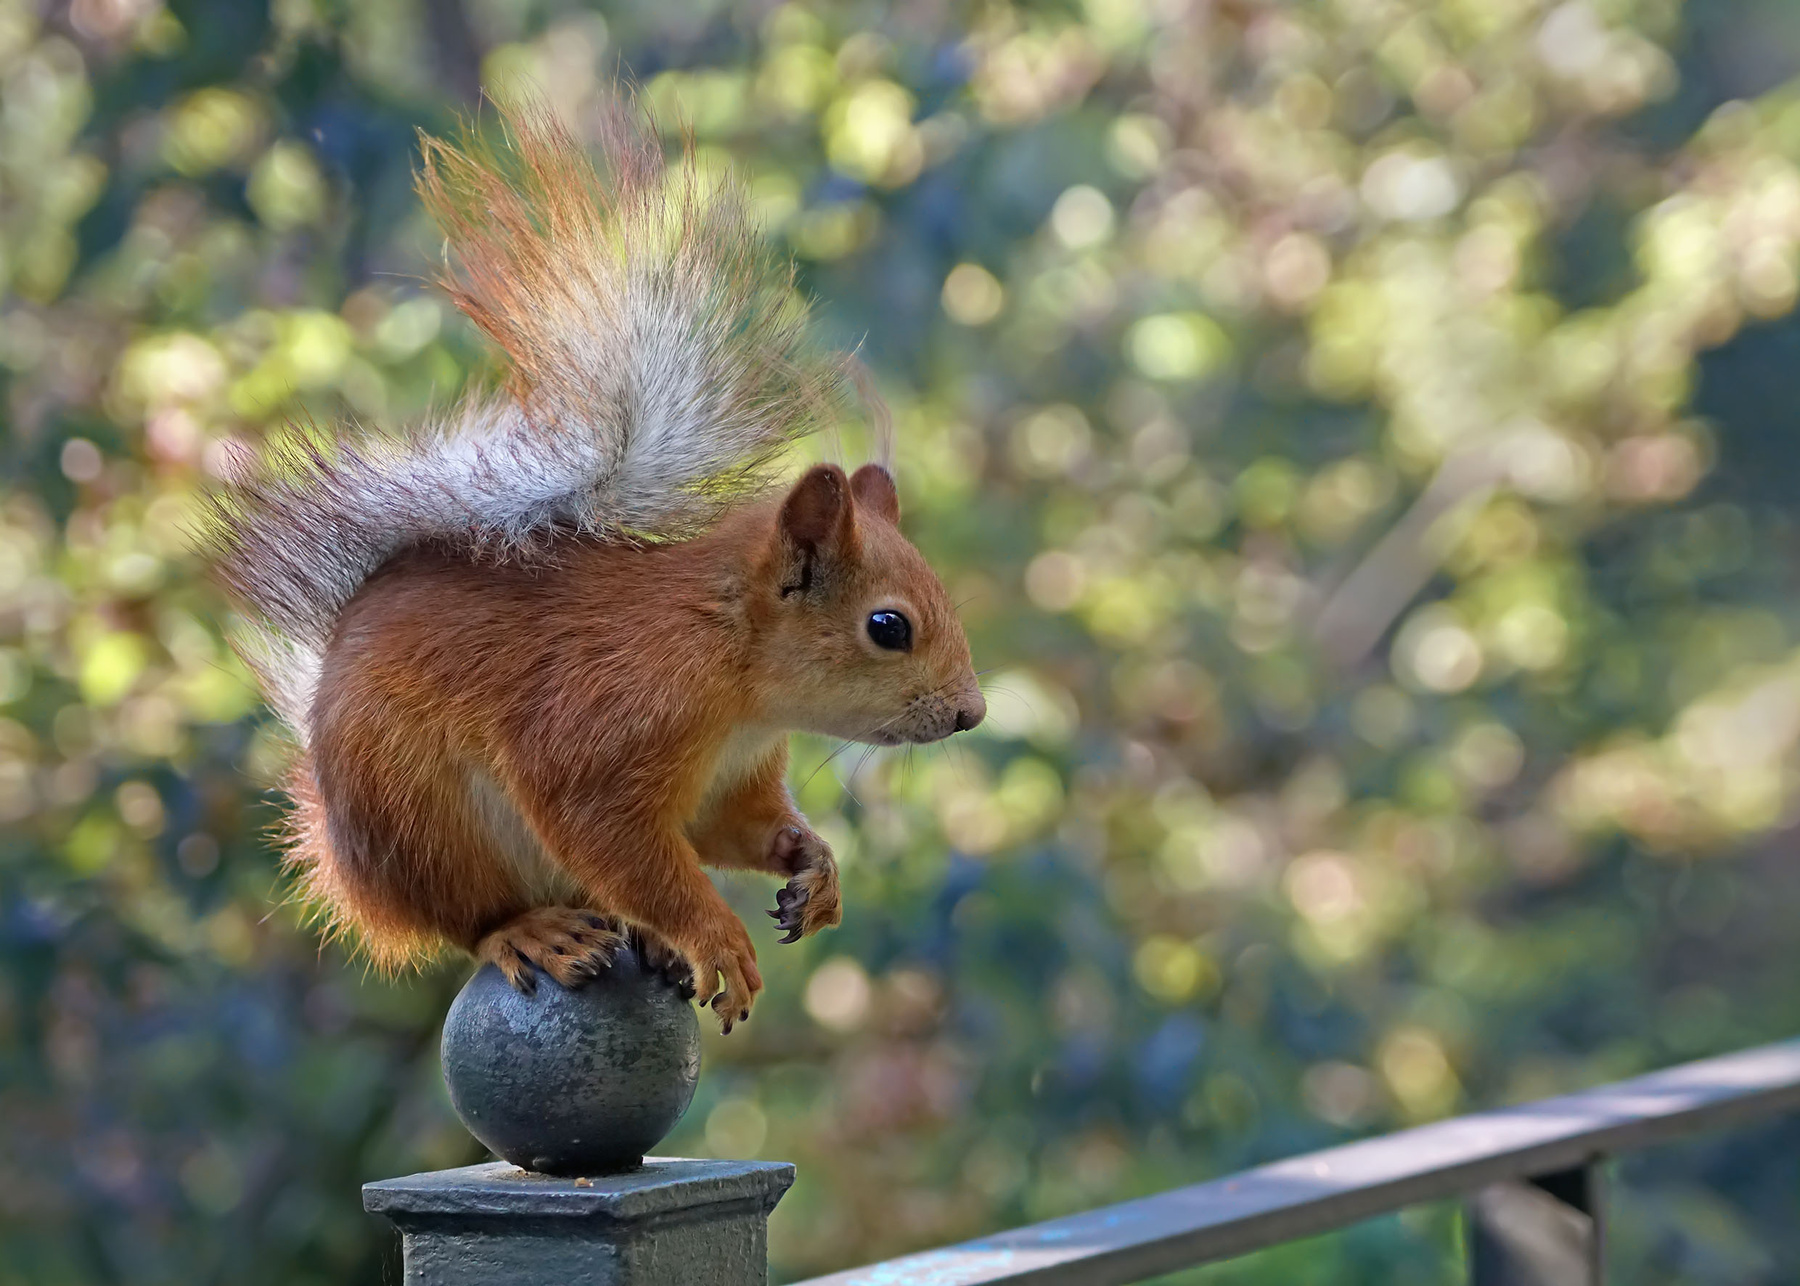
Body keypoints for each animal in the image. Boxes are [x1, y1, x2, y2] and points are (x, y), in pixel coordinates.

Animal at [204, 102, 985, 1032]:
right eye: (887, 627)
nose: (972, 714)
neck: (735, 681)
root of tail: (341, 852)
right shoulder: (603, 736)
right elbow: (627, 851)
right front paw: (715, 938)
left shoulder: (726, 785)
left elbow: (736, 830)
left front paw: (814, 864)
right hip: (417, 820)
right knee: (467, 918)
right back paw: (534, 933)